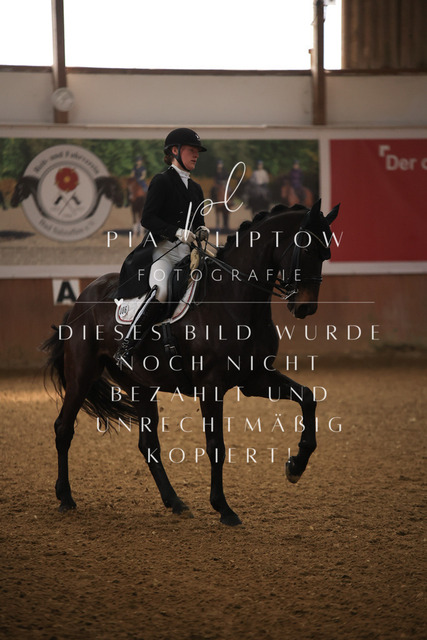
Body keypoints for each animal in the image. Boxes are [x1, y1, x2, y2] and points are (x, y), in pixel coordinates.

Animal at [42, 200, 339, 526]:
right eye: (308, 249)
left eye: (326, 254)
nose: (305, 307)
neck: (235, 299)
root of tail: (81, 299)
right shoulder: (211, 387)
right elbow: (216, 446)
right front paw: (224, 508)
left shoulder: (256, 378)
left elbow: (308, 398)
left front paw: (296, 466)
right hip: (82, 374)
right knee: (63, 428)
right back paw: (65, 498)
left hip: (141, 386)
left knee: (148, 445)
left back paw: (175, 502)